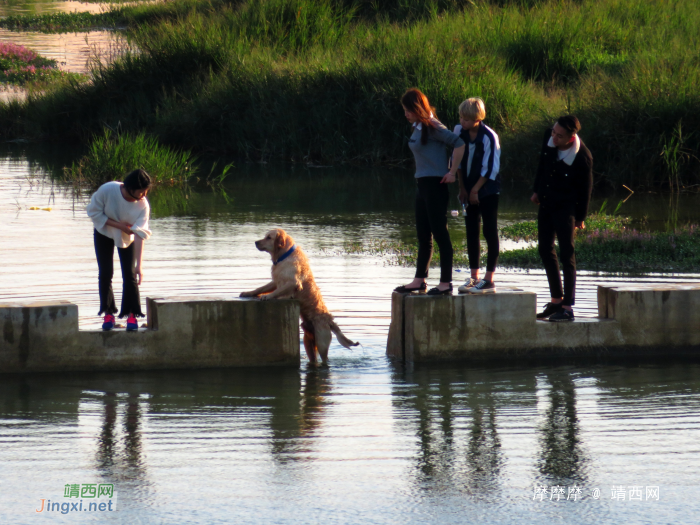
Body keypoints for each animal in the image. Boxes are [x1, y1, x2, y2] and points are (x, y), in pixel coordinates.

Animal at [242, 229, 360, 364]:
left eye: (268, 237)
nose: (256, 242)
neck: (284, 257)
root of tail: (330, 320)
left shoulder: (293, 282)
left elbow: (278, 292)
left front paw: (268, 297)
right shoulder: (276, 281)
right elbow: (261, 288)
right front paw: (248, 293)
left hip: (322, 342)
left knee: (325, 358)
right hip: (307, 341)